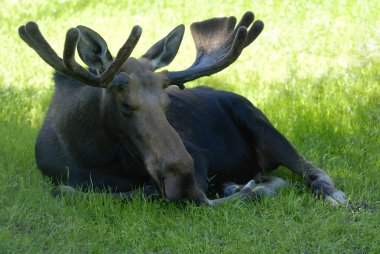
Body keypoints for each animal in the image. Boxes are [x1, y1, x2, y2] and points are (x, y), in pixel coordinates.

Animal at [18, 11, 348, 206]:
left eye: (168, 102)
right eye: (125, 104)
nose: (183, 178)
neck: (91, 154)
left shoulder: (199, 157)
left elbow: (150, 193)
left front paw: (247, 190)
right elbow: (65, 190)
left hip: (261, 123)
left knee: (312, 170)